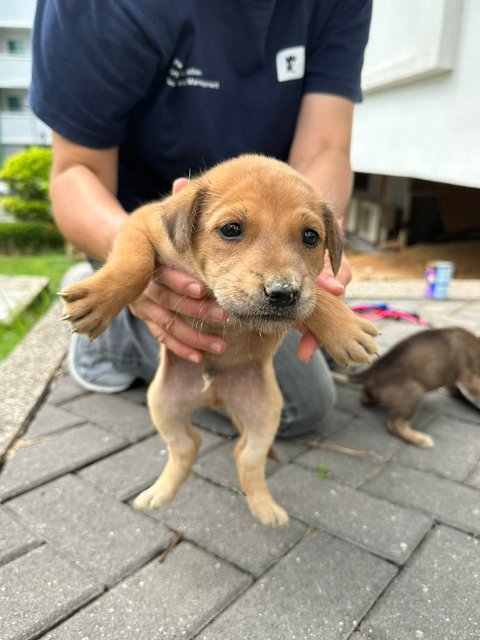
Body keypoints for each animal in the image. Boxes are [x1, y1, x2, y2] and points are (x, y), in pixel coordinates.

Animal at [60, 155, 378, 524]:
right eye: (231, 229)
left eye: (310, 237)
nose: (283, 293)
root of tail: (215, 395)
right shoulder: (140, 225)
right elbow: (133, 261)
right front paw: (99, 299)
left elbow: (318, 292)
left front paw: (345, 328)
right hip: (163, 403)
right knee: (187, 446)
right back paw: (160, 493)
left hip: (263, 413)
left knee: (244, 455)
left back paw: (264, 507)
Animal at [336, 328, 480, 448]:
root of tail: (375, 368)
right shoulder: (469, 377)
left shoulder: (454, 381)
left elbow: (456, 390)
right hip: (414, 392)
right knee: (394, 423)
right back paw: (419, 439)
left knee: (366, 396)